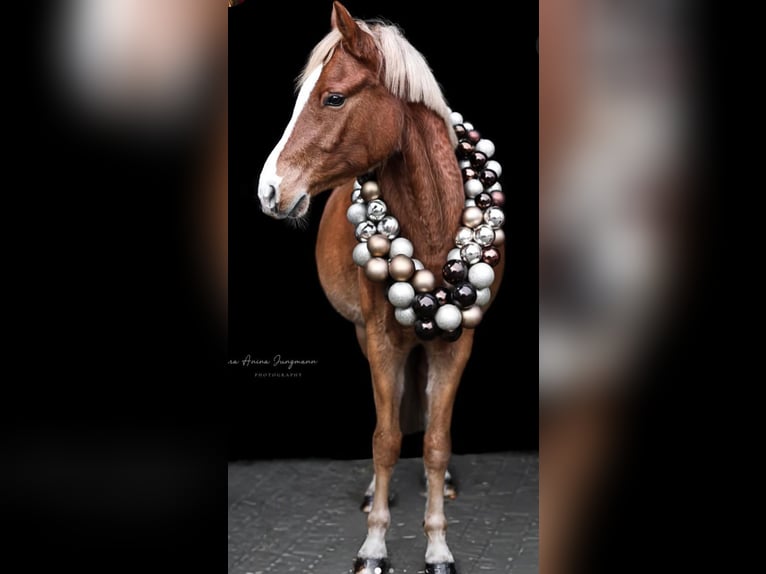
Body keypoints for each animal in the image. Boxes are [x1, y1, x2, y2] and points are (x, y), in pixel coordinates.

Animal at [256, 3, 504, 573]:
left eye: (333, 97)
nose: (269, 190)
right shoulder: (382, 340)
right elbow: (385, 438)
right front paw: (373, 546)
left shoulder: (458, 343)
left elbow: (435, 441)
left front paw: (437, 546)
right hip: (364, 336)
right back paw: (375, 493)